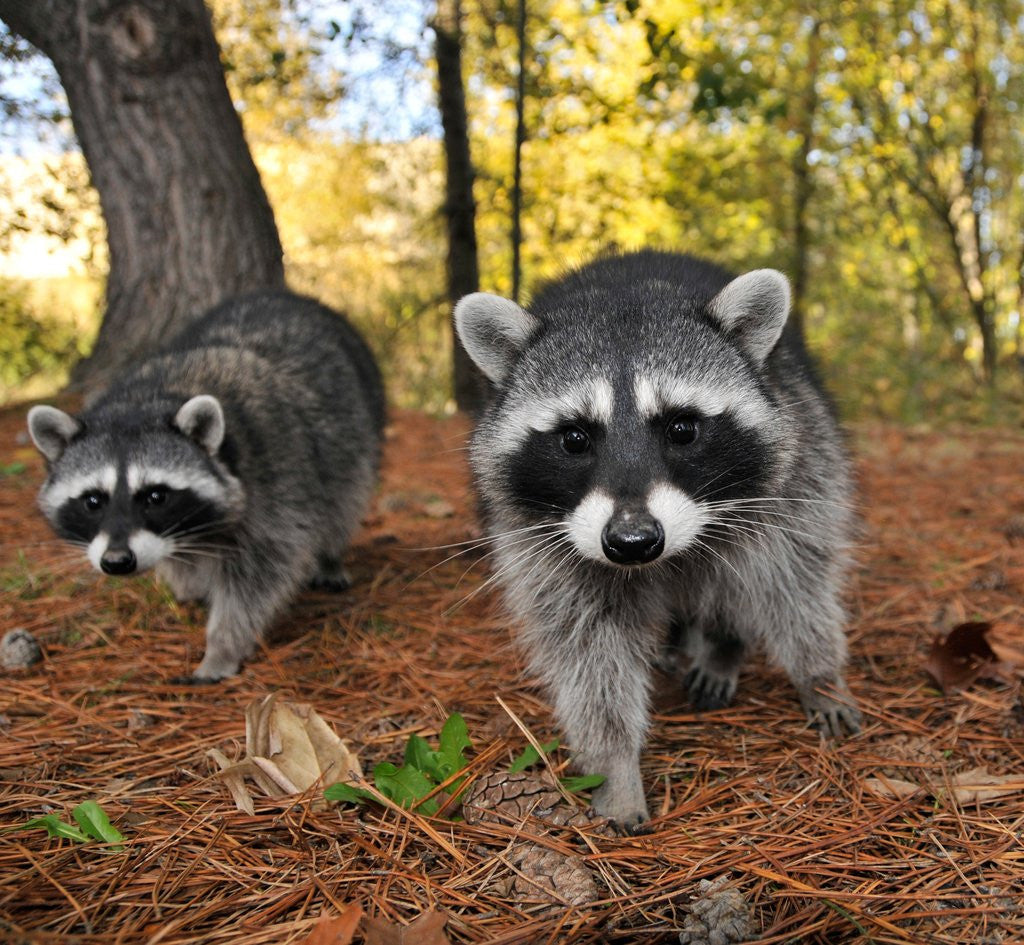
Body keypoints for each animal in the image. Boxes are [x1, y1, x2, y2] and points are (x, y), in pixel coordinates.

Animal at [28, 290, 384, 681]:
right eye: (93, 501)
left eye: (156, 496)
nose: (118, 562)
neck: (150, 399)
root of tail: (289, 296)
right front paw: (185, 581)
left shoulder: (276, 477)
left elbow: (259, 574)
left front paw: (222, 645)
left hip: (355, 427)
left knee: (345, 496)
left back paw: (330, 556)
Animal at [454, 250, 861, 830]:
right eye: (574, 438)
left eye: (682, 429)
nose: (632, 540)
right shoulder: (543, 540)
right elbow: (588, 649)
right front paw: (615, 765)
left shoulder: (795, 478)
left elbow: (792, 578)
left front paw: (820, 674)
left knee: (737, 580)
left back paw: (722, 646)